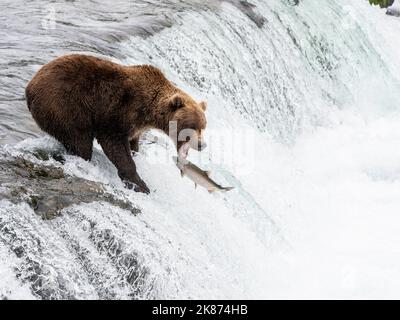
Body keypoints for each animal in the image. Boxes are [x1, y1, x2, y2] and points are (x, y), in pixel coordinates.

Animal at [25, 54, 208, 192]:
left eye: (203, 126)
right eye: (192, 126)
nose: (202, 145)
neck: (149, 111)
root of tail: (30, 86)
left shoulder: (136, 125)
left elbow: (133, 143)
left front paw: (136, 156)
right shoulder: (118, 111)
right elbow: (115, 144)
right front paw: (140, 184)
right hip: (65, 105)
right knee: (79, 142)